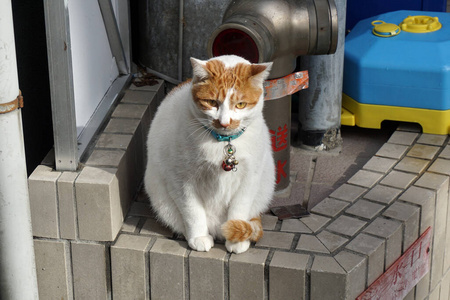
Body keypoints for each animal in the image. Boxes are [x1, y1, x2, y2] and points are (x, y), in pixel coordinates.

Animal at [144, 54, 276, 253]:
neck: (223, 143)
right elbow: (193, 212)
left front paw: (235, 240)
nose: (224, 122)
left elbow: (239, 209)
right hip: (161, 199)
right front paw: (198, 237)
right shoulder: (182, 180)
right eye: (212, 102)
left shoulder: (249, 179)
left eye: (240, 104)